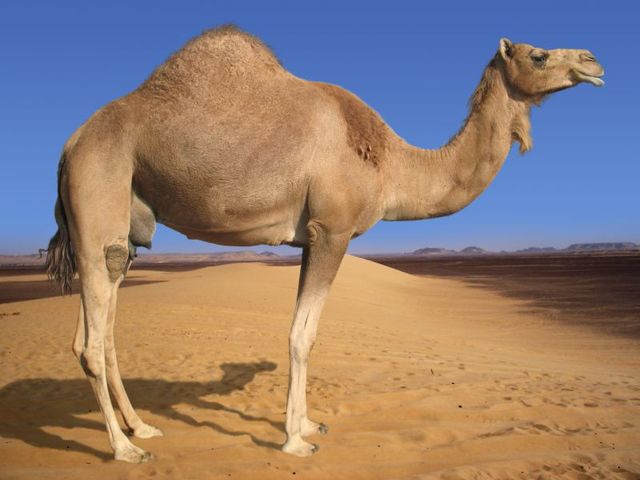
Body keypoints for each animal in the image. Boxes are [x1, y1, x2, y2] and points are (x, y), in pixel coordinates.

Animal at [45, 25, 604, 463]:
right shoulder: (332, 230)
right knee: (92, 340)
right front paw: (296, 441)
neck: (392, 162)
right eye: (539, 55)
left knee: (102, 326)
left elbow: (304, 332)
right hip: (99, 192)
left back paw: (142, 427)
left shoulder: (309, 238)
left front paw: (308, 424)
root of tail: (69, 146)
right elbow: (302, 335)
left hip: (124, 227)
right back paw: (124, 448)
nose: (593, 61)